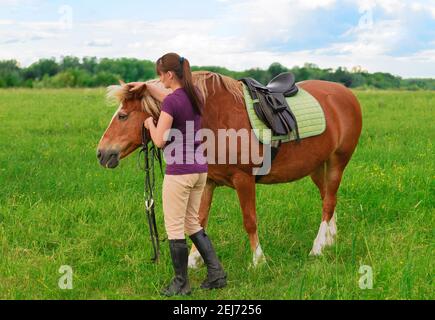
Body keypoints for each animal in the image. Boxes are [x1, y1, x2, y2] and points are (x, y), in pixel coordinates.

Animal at [97, 72, 362, 268]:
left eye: (122, 116)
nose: (101, 154)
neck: (213, 119)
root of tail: (345, 93)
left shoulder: (243, 180)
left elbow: (250, 221)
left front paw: (258, 261)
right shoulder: (207, 181)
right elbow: (199, 220)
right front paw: (194, 260)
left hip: (337, 162)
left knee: (329, 201)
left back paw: (317, 248)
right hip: (317, 166)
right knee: (328, 198)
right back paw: (330, 240)